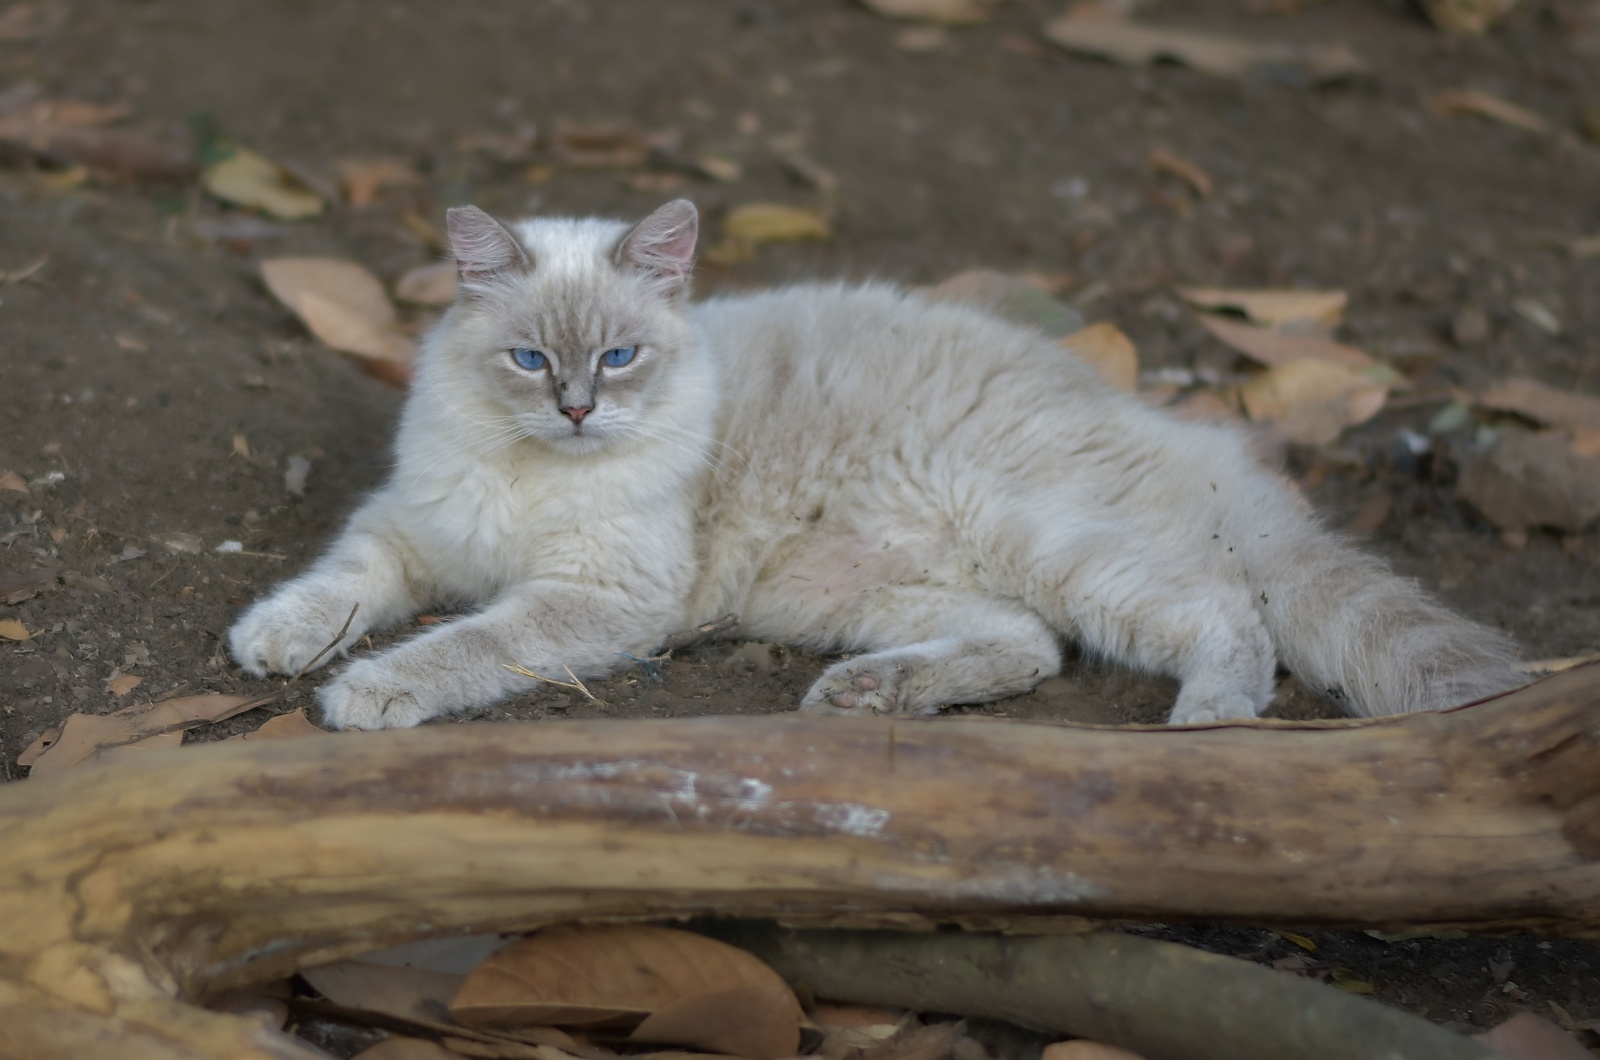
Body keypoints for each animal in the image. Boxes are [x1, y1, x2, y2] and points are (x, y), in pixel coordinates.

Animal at [228, 199, 1523, 730]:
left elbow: (463, 642)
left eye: (620, 355)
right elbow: (339, 584)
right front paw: (276, 641)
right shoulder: (410, 528)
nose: (580, 411)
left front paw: (366, 693)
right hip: (846, 594)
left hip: (1050, 544)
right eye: (529, 357)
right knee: (1027, 648)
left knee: (1224, 620)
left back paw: (1206, 722)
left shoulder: (595, 599)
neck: (531, 471)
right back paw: (868, 696)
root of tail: (1192, 437)